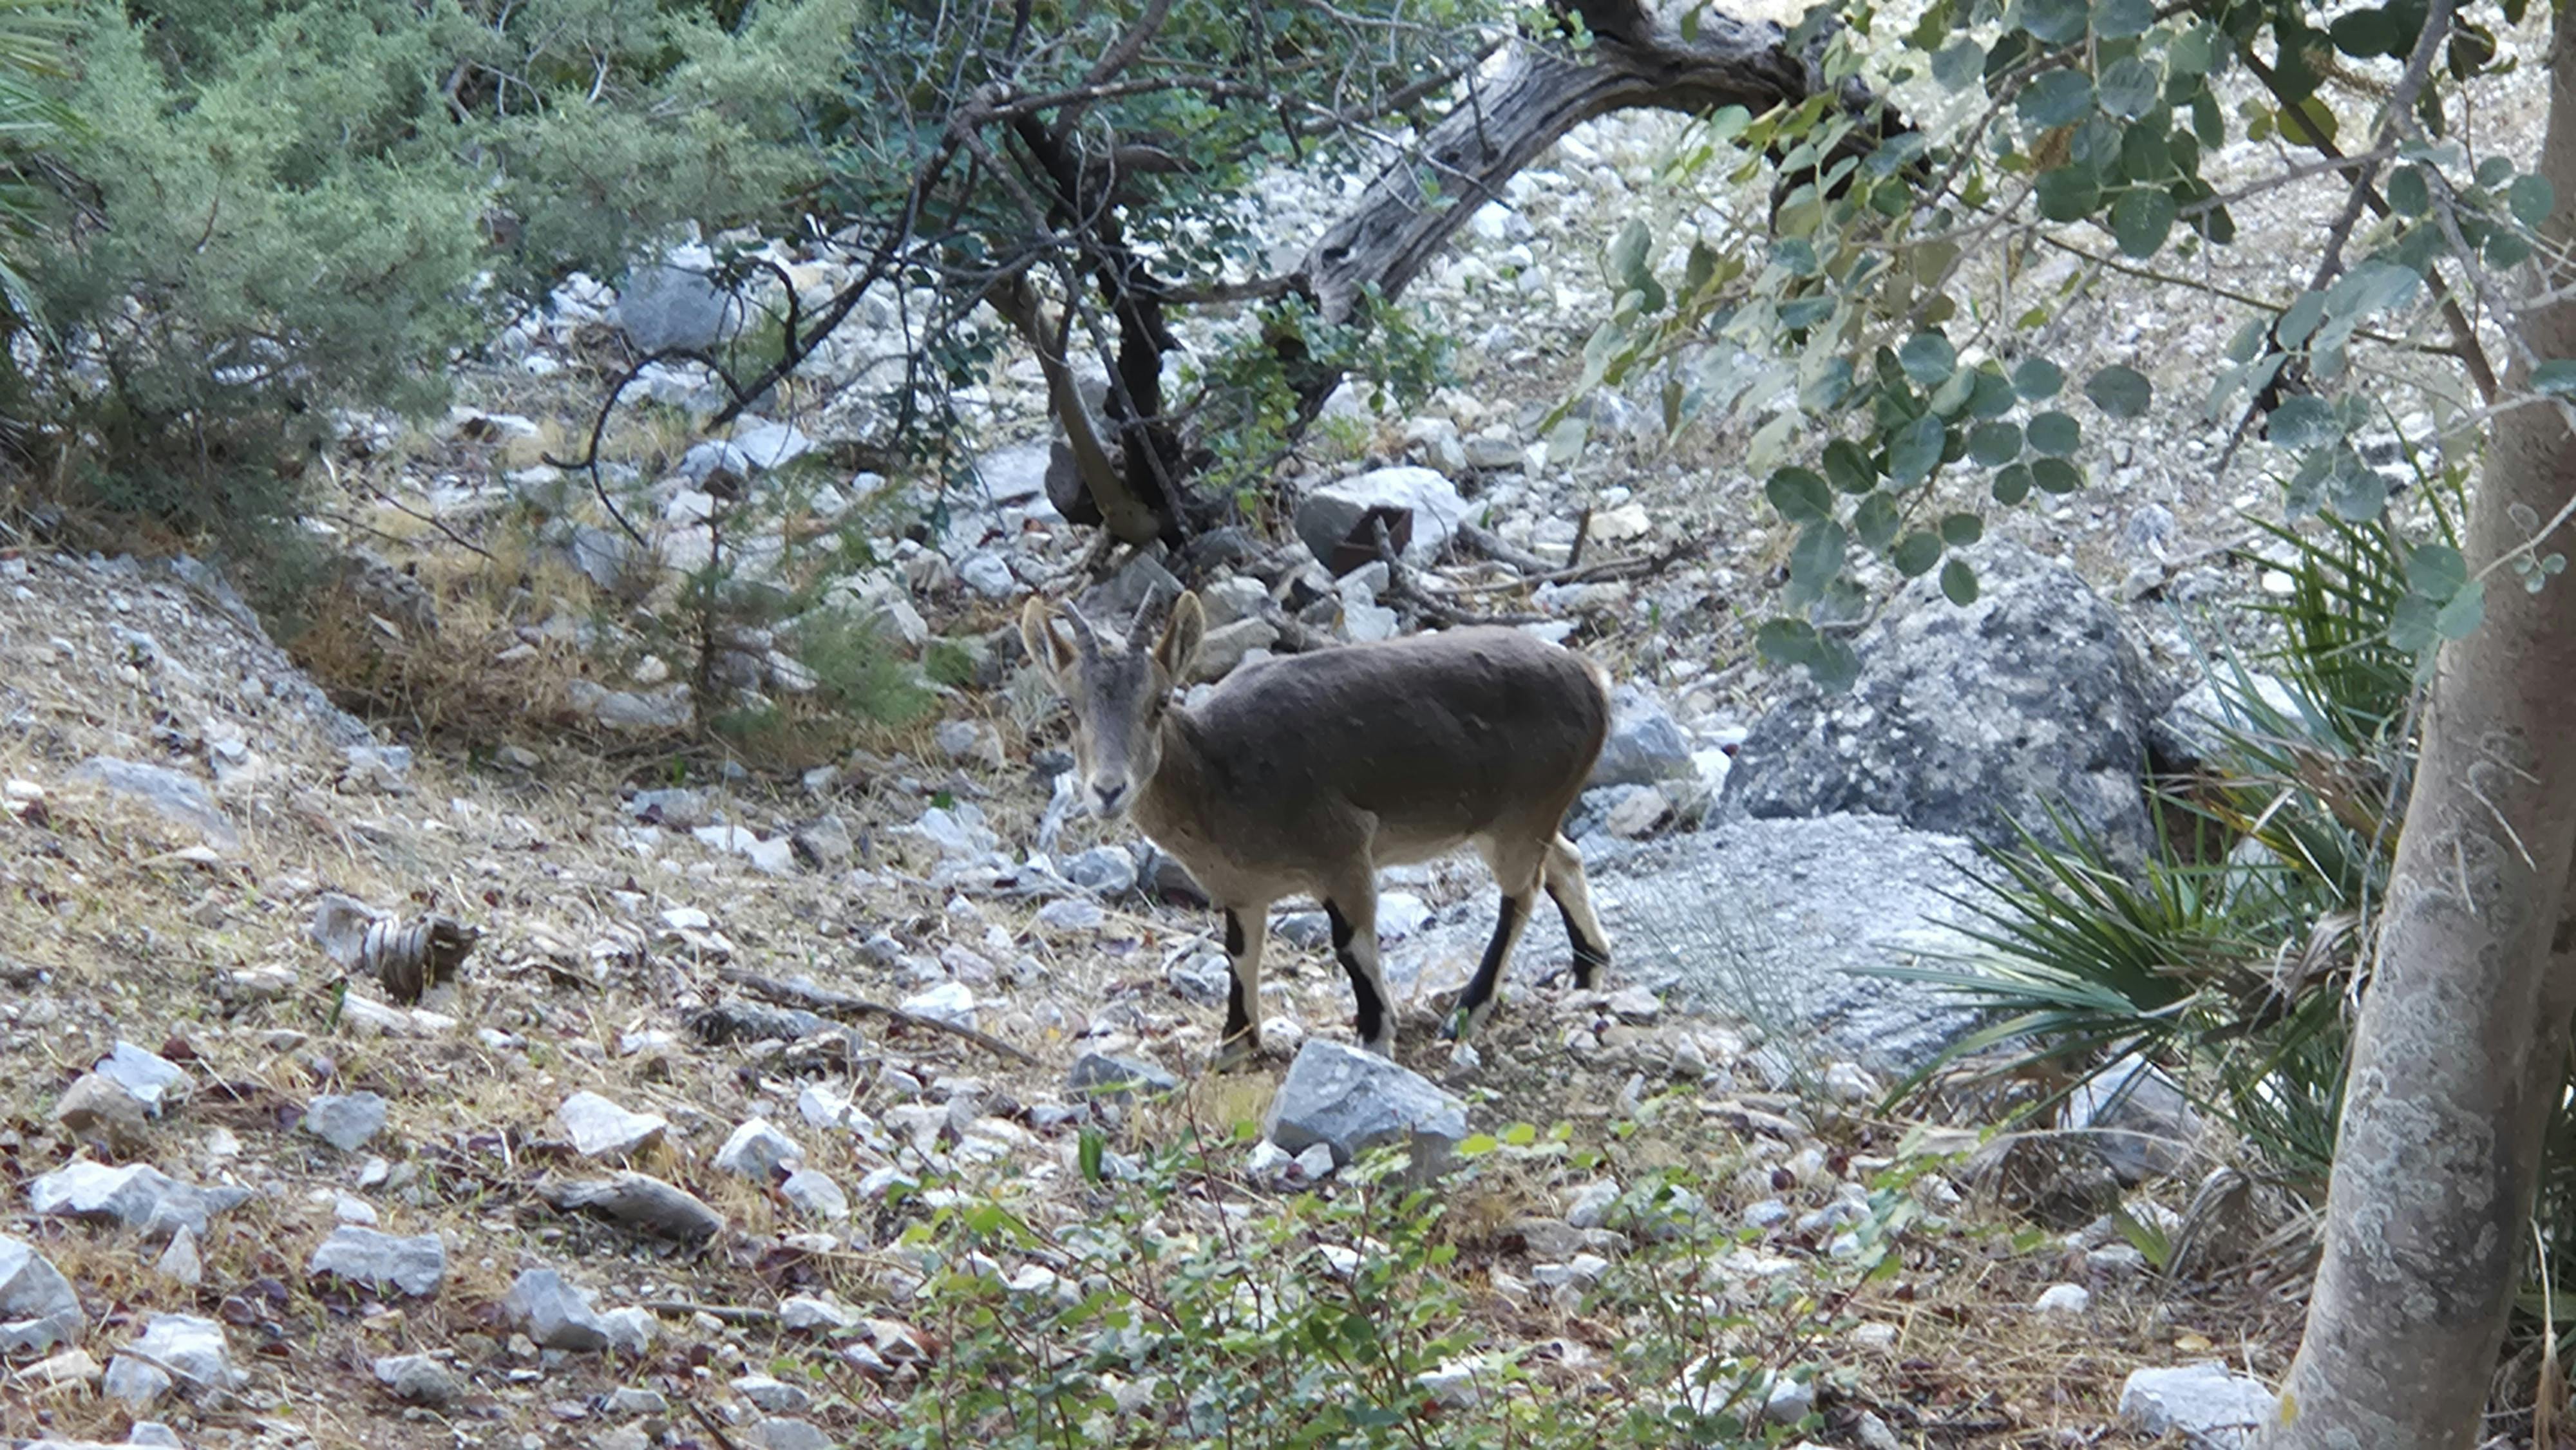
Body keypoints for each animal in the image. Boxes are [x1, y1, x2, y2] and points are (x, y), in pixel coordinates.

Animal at [1021, 588, 1616, 1070]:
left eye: (1160, 702)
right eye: (1068, 706)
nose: (1108, 790)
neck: (1220, 776)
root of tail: (1593, 682)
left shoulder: (1344, 850)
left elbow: (1350, 944)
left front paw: (1375, 1035)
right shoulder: (1241, 891)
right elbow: (1240, 953)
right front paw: (1234, 1043)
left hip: (1520, 816)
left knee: (1524, 891)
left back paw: (1468, 1009)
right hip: (1523, 819)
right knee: (1565, 861)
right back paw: (1588, 971)